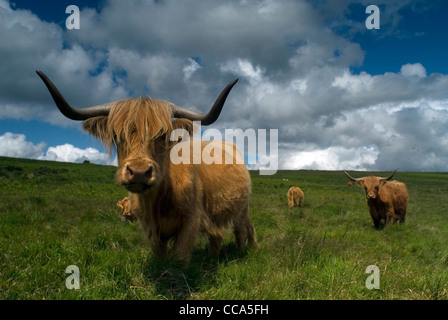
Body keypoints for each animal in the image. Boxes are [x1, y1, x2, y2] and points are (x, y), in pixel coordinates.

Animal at [37, 70, 256, 262]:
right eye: (116, 135)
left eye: (162, 135)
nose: (139, 172)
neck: (158, 200)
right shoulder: (150, 228)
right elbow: (160, 255)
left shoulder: (191, 221)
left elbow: (179, 258)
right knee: (217, 235)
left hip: (242, 208)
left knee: (243, 229)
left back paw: (245, 251)